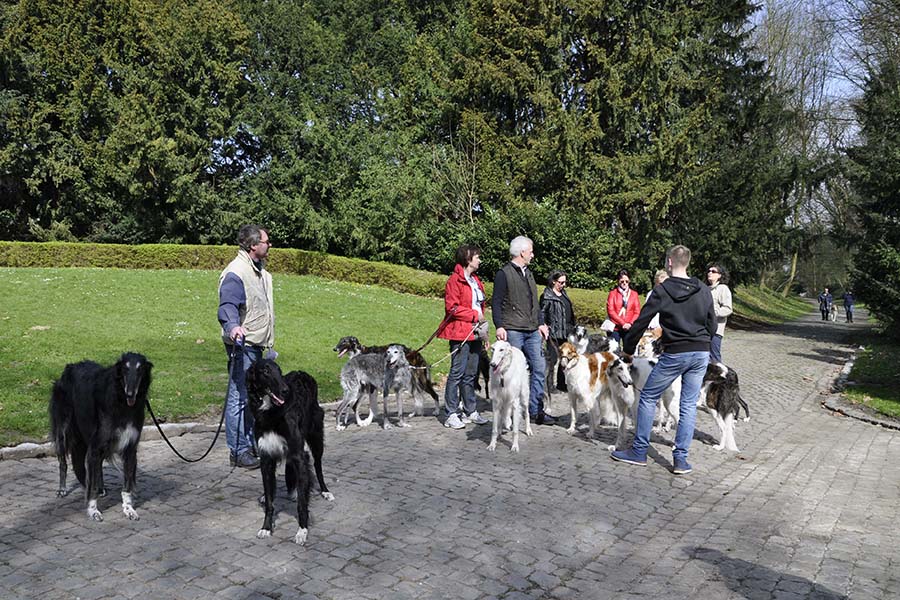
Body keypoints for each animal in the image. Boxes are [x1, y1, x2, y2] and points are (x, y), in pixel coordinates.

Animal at [49, 352, 152, 521]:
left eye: (140, 370)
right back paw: (62, 489)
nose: (130, 394)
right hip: (63, 429)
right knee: (64, 462)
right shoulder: (96, 446)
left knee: (91, 468)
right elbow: (91, 486)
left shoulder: (130, 448)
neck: (121, 402)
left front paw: (129, 509)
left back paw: (101, 487)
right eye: (125, 369)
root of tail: (71, 366)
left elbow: (127, 485)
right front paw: (93, 511)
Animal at [246, 359, 331, 545]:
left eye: (279, 370)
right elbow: (270, 501)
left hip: (316, 437)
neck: (271, 412)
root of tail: (302, 372)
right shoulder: (266, 457)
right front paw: (266, 528)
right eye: (265, 371)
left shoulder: (299, 454)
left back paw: (325, 491)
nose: (285, 390)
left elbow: (302, 504)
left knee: (318, 466)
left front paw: (302, 530)